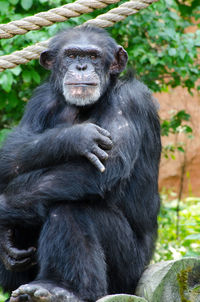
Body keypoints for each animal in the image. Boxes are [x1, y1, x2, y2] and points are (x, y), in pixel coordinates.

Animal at [0, 26, 161, 302]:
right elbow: (11, 155)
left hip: (128, 272)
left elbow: (102, 171)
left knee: (71, 206)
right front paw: (75, 137)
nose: (82, 66)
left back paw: (63, 289)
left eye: (94, 56)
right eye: (72, 55)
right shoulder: (41, 100)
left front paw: (0, 210)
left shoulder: (130, 100)